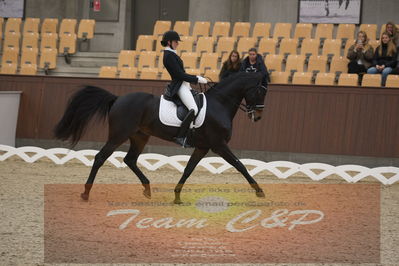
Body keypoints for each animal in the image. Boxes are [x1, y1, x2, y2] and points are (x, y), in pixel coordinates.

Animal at [54, 71, 268, 204]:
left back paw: (147, 189)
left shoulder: (203, 147)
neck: (220, 104)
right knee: (100, 158)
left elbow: (188, 170)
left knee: (130, 159)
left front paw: (177, 196)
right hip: (118, 135)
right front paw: (260, 191)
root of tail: (118, 98)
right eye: (259, 91)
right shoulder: (219, 145)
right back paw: (85, 193)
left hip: (139, 137)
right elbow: (240, 166)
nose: (258, 116)